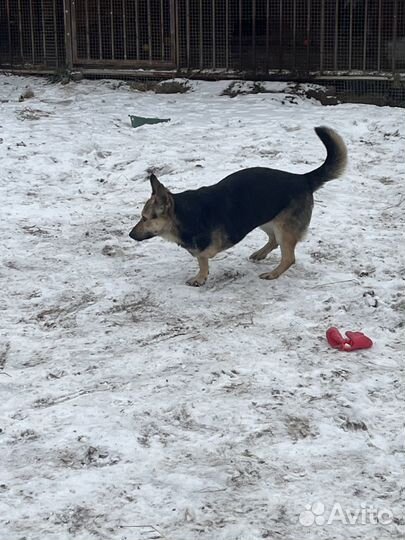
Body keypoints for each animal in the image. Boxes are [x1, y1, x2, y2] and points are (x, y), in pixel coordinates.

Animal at [129, 127, 344, 286]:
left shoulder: (209, 246)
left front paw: (200, 276)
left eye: (145, 218)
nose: (130, 235)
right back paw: (261, 253)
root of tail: (302, 178)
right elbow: (200, 256)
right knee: (274, 240)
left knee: (288, 257)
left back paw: (273, 274)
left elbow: (202, 256)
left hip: (283, 227)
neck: (184, 215)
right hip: (265, 217)